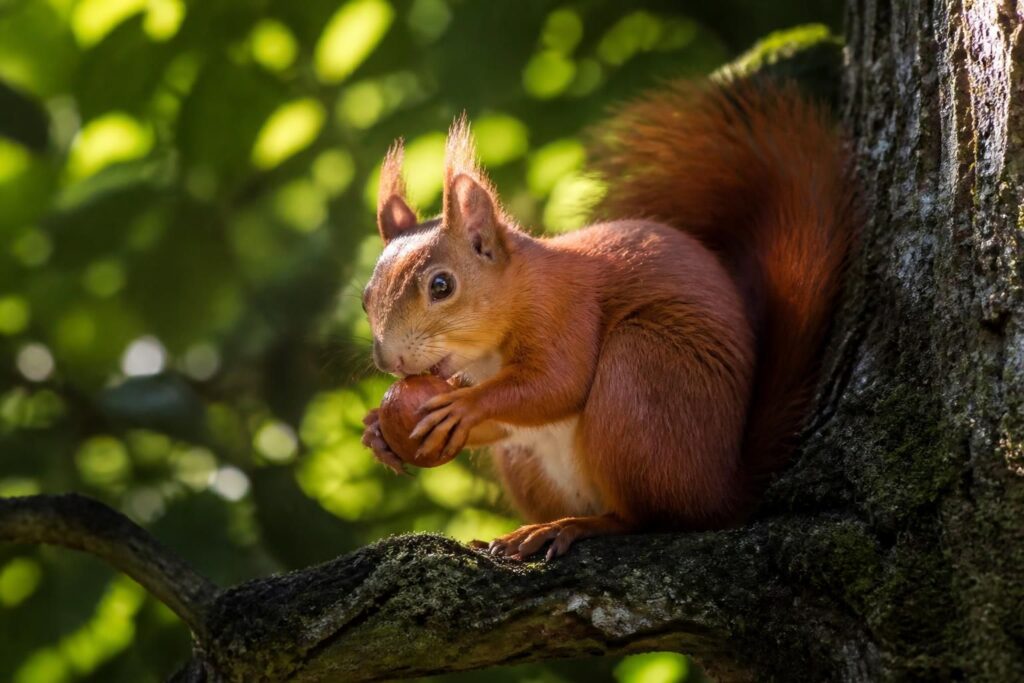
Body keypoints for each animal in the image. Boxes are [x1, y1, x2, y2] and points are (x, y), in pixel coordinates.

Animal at [360, 75, 858, 561]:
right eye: (366, 298)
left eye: (442, 286)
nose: (390, 361)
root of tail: (727, 489)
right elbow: (507, 421)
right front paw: (377, 430)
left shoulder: (565, 311)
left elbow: (559, 382)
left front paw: (464, 405)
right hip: (531, 460)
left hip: (640, 375)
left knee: (647, 518)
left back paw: (574, 526)